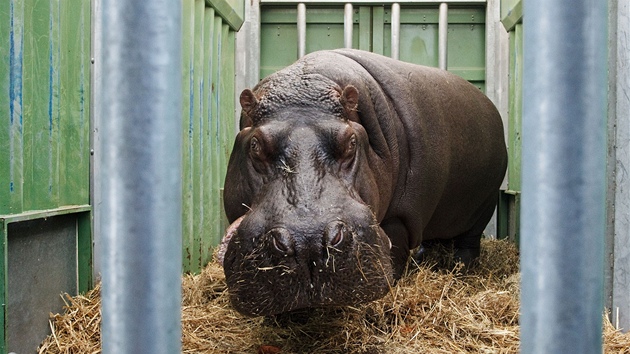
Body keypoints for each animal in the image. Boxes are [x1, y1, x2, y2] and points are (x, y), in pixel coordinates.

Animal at [221, 48, 508, 316]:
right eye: (255, 145)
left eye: (351, 142)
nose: (308, 243)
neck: (305, 86)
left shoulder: (400, 217)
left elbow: (395, 254)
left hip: (484, 205)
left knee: (469, 241)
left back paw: (460, 268)